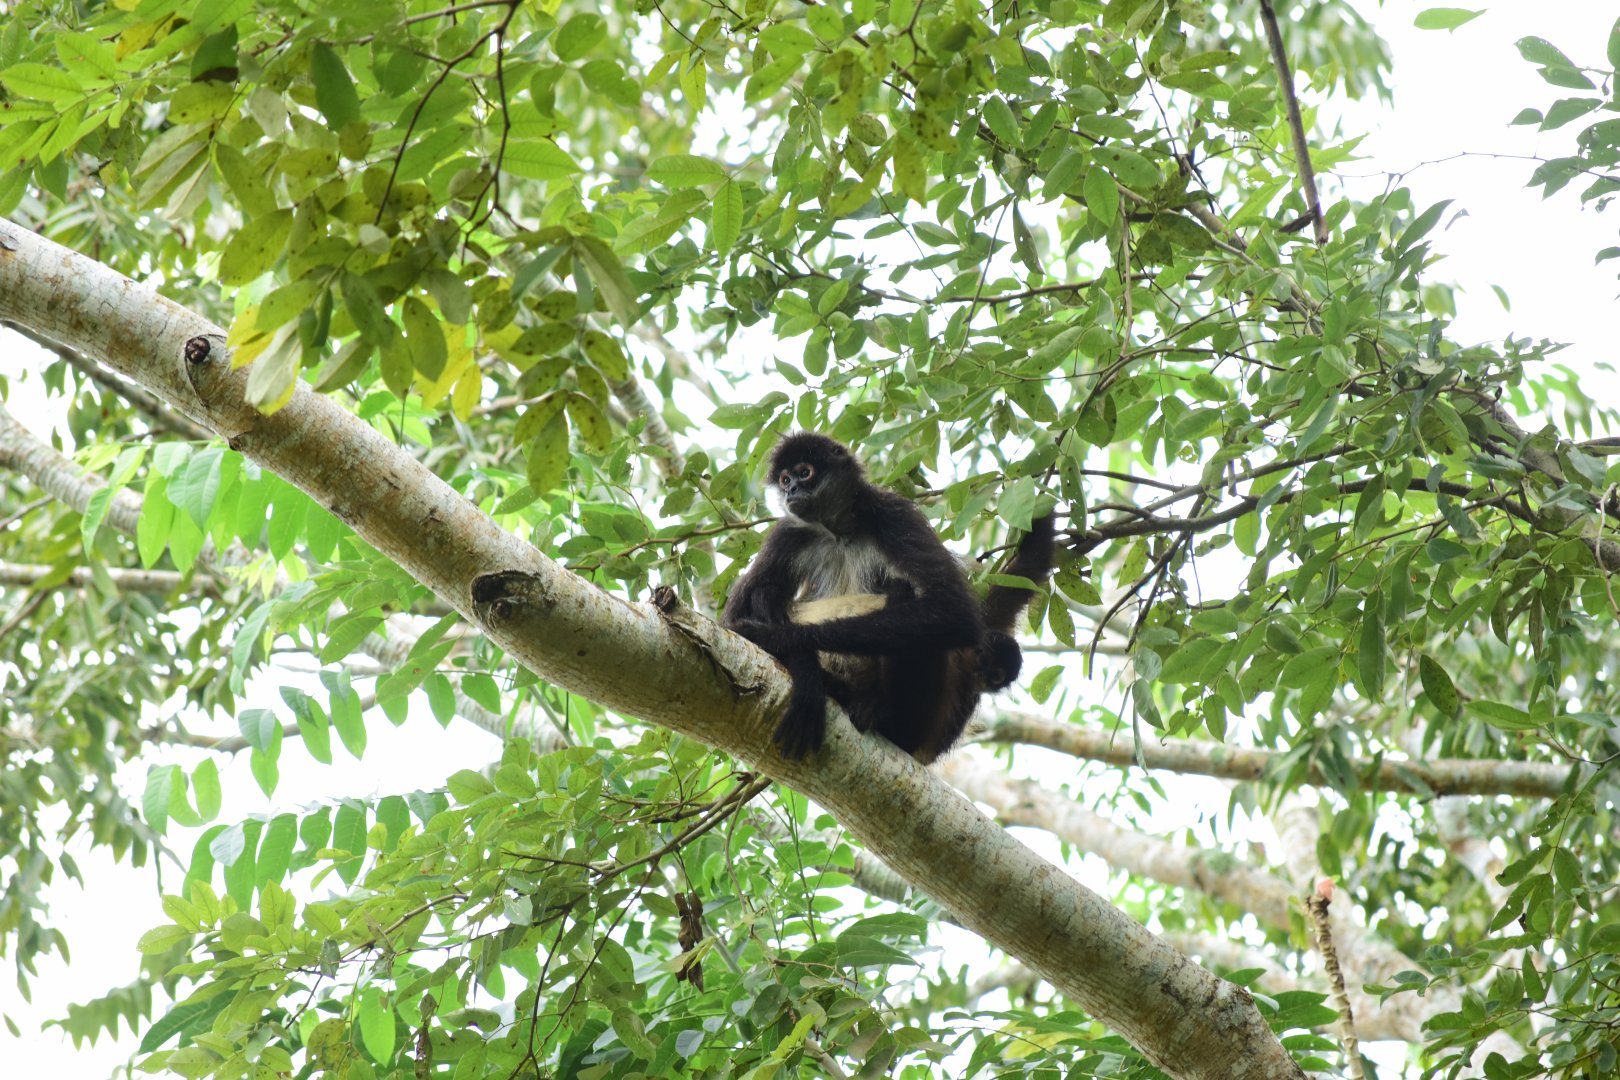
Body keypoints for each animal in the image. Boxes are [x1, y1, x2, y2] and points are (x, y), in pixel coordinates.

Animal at [721, 432, 1056, 763]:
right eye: (785, 479)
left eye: (805, 472)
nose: (791, 490)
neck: (839, 531)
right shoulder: (788, 533)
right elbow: (732, 618)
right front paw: (805, 672)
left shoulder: (893, 513)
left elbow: (954, 613)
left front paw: (779, 637)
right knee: (765, 591)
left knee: (906, 596)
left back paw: (882, 717)